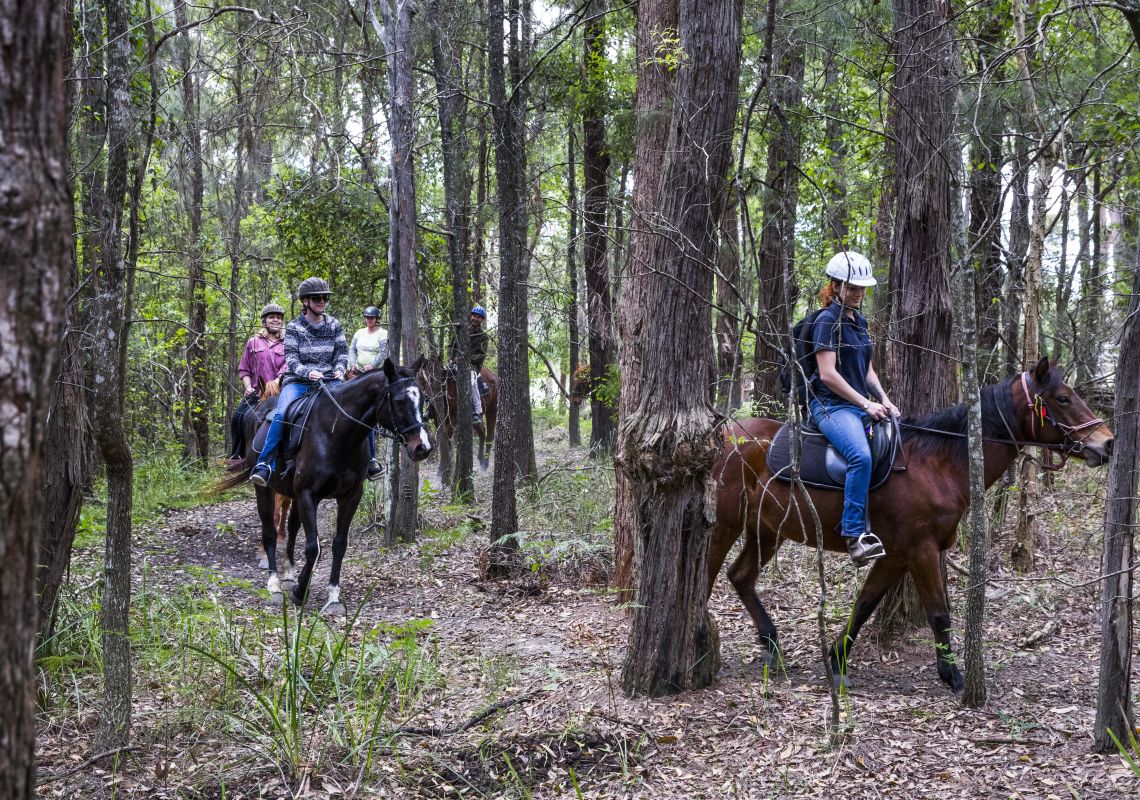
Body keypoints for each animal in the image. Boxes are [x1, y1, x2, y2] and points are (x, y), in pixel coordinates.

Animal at [215, 360, 428, 610]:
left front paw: (332, 595)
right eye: (399, 400)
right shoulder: (308, 495)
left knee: (292, 528)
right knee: (269, 531)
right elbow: (313, 547)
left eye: (422, 399)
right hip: (264, 489)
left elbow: (338, 544)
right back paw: (274, 583)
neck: (336, 434)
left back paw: (289, 574)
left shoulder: (350, 496)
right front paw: (300, 592)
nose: (422, 447)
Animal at [711, 360, 1112, 692]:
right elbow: (939, 612)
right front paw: (953, 676)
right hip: (727, 524)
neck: (940, 464)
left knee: (740, 576)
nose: (1106, 443)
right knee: (709, 573)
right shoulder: (921, 550)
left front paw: (837, 662)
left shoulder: (896, 555)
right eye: (1063, 398)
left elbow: (864, 606)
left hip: (767, 531)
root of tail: (725, 435)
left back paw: (771, 645)